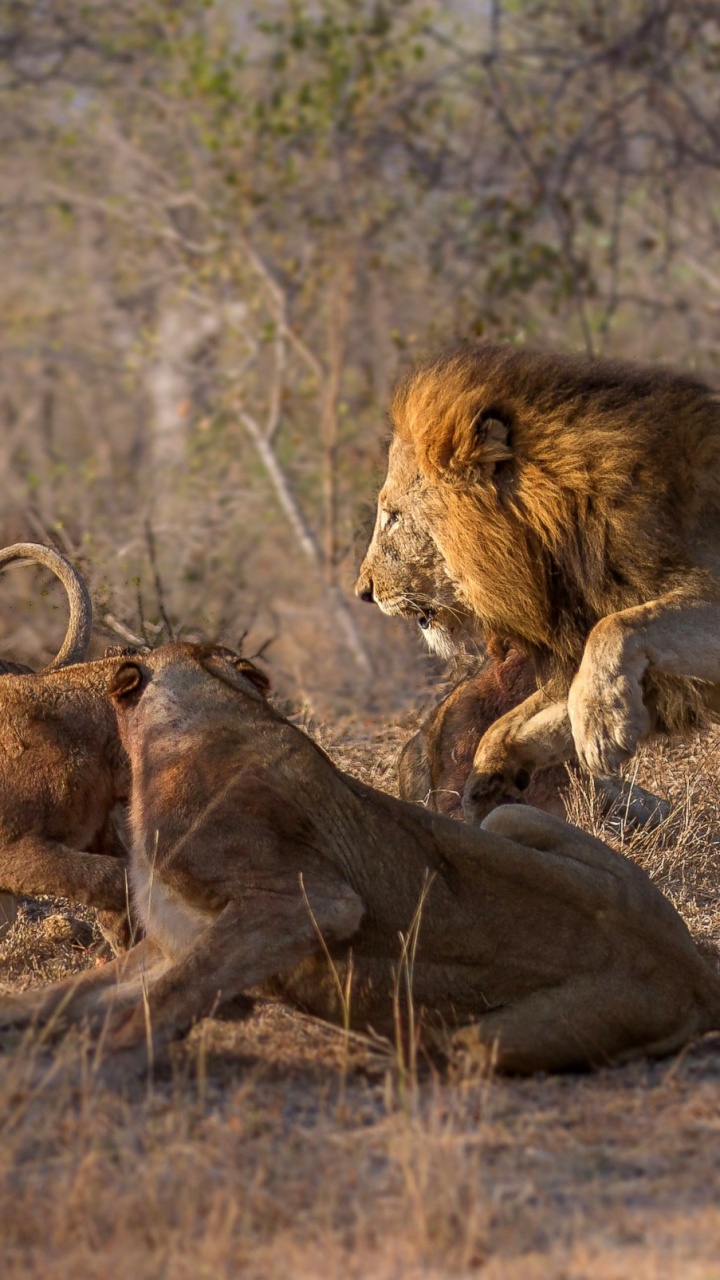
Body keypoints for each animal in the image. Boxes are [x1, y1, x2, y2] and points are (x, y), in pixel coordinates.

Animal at [2, 641, 718, 1079]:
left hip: (486, 1039)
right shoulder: (173, 937)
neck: (210, 710)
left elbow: (165, 999)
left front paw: (88, 1071)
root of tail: (692, 968)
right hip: (509, 819)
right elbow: (69, 993)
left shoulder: (308, 902)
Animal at [356, 344, 720, 821]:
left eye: (394, 516)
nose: (363, 591)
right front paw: (488, 783)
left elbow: (618, 626)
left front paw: (600, 726)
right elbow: (516, 721)